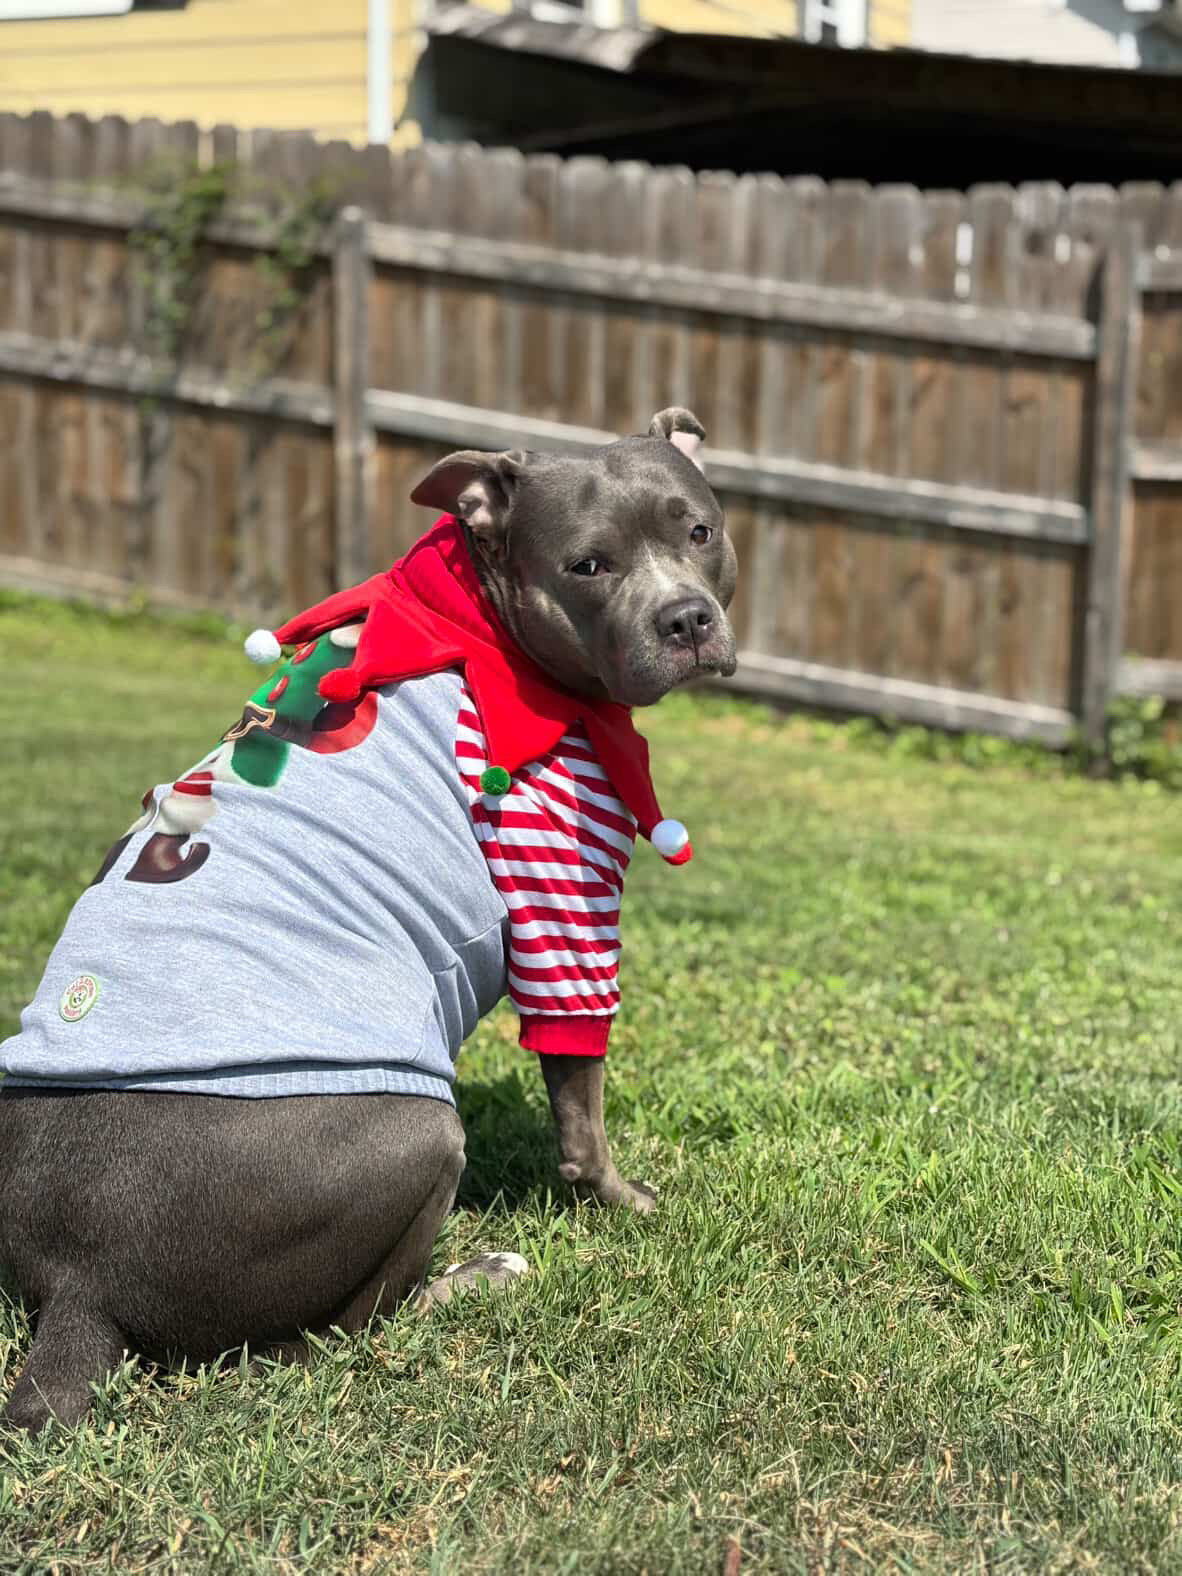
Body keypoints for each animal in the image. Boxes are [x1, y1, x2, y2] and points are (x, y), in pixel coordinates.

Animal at [0, 408, 737, 1433]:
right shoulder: (562, 899)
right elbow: (579, 1106)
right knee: (335, 1333)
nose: (686, 619)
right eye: (588, 565)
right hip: (417, 1133)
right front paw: (625, 1203)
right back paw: (475, 1276)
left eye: (698, 531)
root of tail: (76, 1284)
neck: (482, 622)